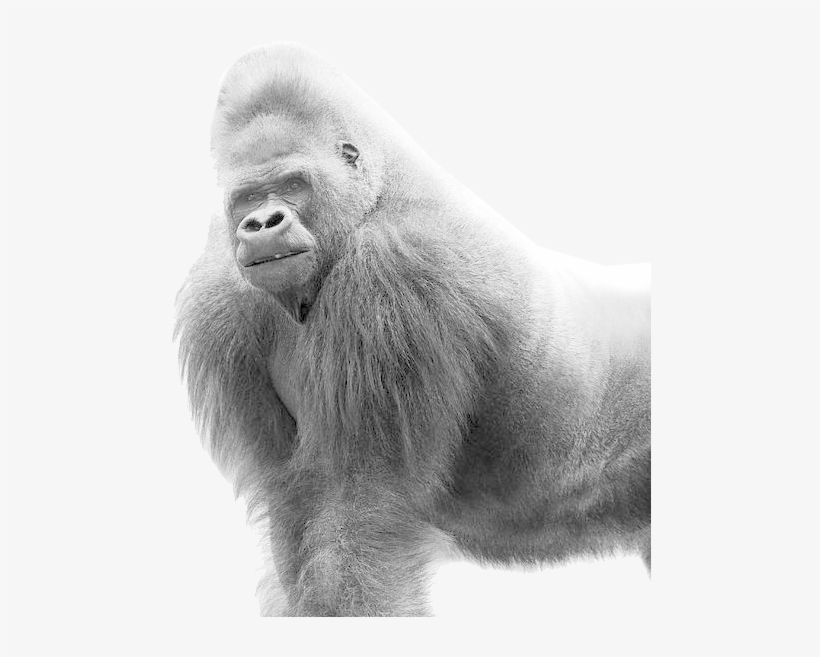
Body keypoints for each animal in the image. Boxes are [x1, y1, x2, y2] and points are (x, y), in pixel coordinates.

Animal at [175, 43, 651, 616]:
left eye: (293, 184)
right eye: (247, 197)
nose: (263, 223)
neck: (375, 195)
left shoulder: (393, 272)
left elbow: (363, 509)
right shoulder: (220, 299)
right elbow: (293, 509)